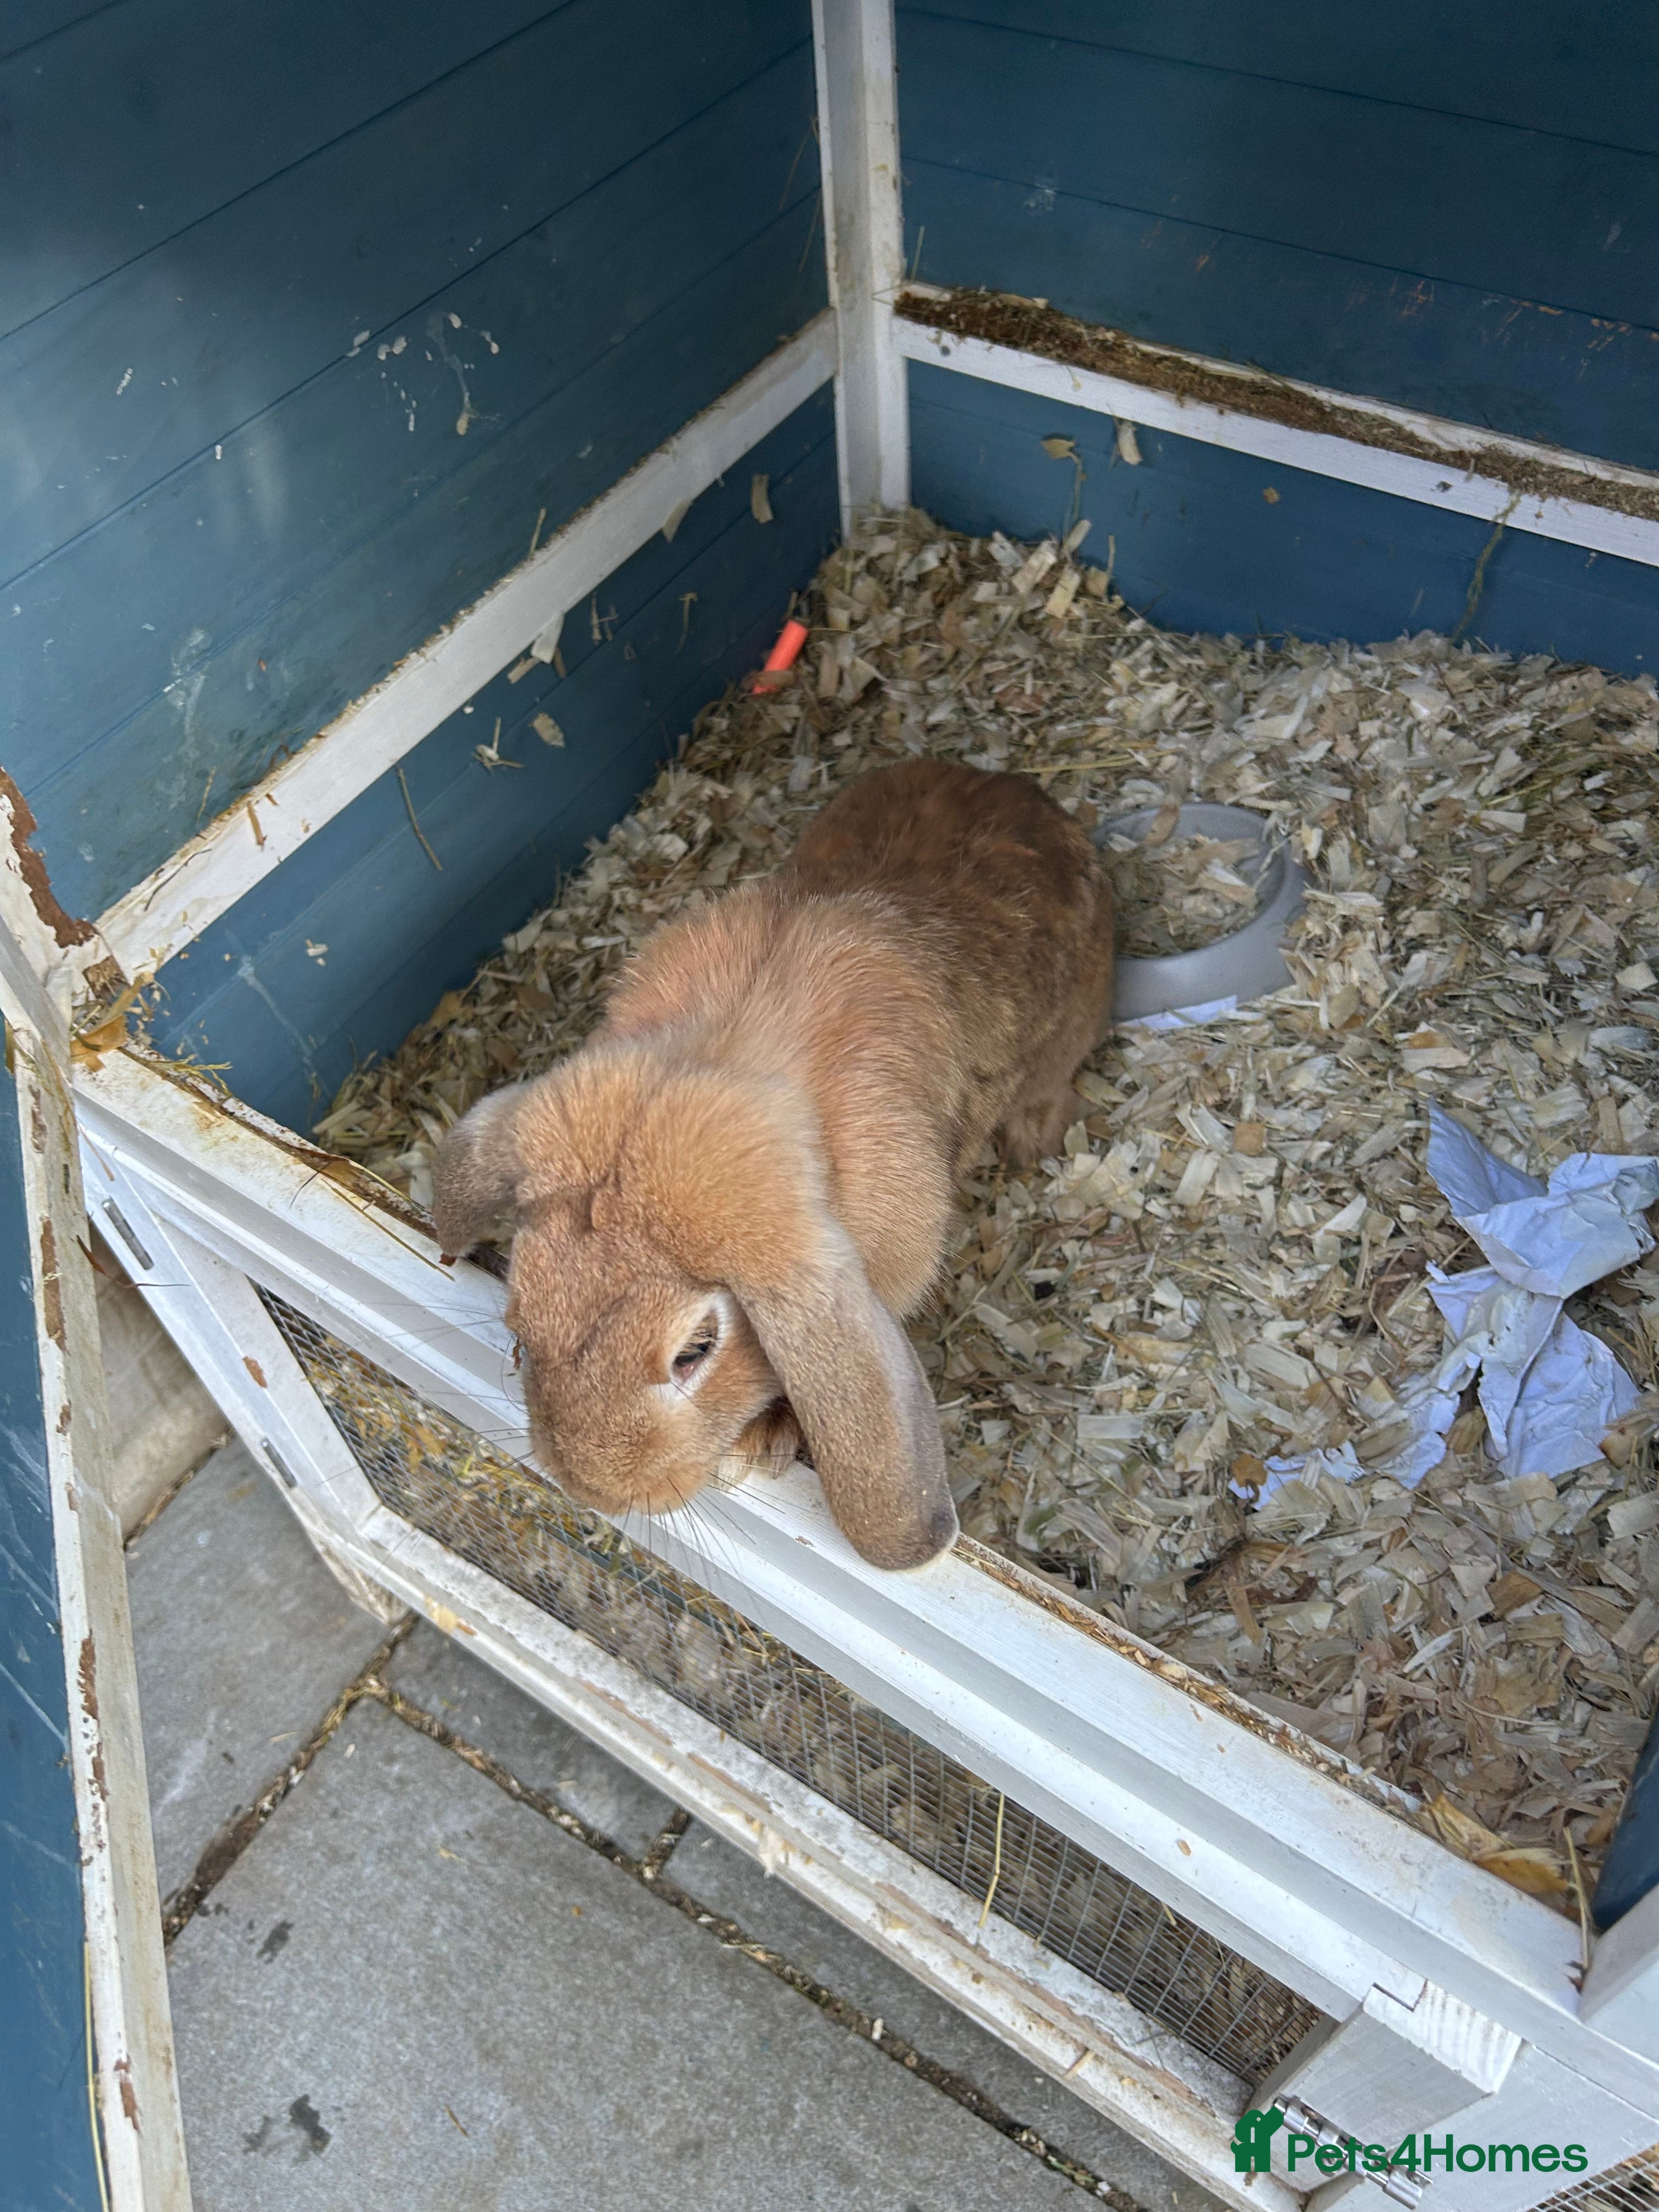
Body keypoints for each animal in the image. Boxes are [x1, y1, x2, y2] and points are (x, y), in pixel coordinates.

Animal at [432, 758, 1114, 1571]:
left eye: (694, 1352)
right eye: (520, 1318)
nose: (593, 1488)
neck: (728, 1047)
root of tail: (1017, 787)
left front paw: (766, 1440)